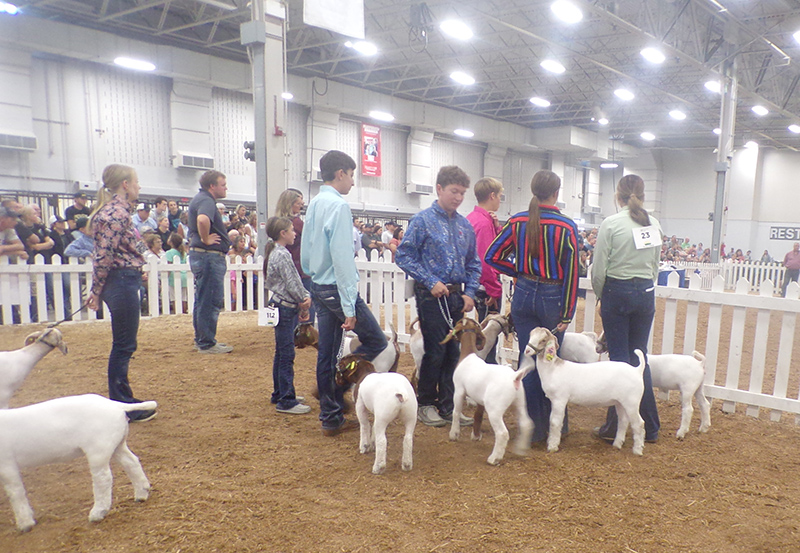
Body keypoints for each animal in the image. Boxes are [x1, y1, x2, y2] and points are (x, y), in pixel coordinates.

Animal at [0, 392, 155, 532]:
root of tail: (114, 405)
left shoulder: (7, 465)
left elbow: (15, 493)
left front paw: (25, 523)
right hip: (117, 444)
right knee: (131, 462)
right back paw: (141, 493)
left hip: (98, 449)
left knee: (103, 479)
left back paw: (98, 512)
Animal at [446, 316, 536, 464]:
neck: (468, 356)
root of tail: (514, 377)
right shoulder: (480, 400)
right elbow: (478, 415)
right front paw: (476, 436)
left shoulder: (458, 390)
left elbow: (456, 412)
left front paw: (454, 434)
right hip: (519, 402)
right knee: (526, 423)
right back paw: (521, 449)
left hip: (495, 409)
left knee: (502, 433)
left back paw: (494, 458)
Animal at [528, 326, 648, 454]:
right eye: (531, 335)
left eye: (543, 340)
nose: (527, 350)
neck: (553, 369)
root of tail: (637, 370)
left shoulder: (559, 399)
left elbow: (555, 422)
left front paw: (552, 447)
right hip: (620, 402)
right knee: (623, 421)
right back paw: (617, 444)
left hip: (632, 402)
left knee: (639, 424)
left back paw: (637, 450)